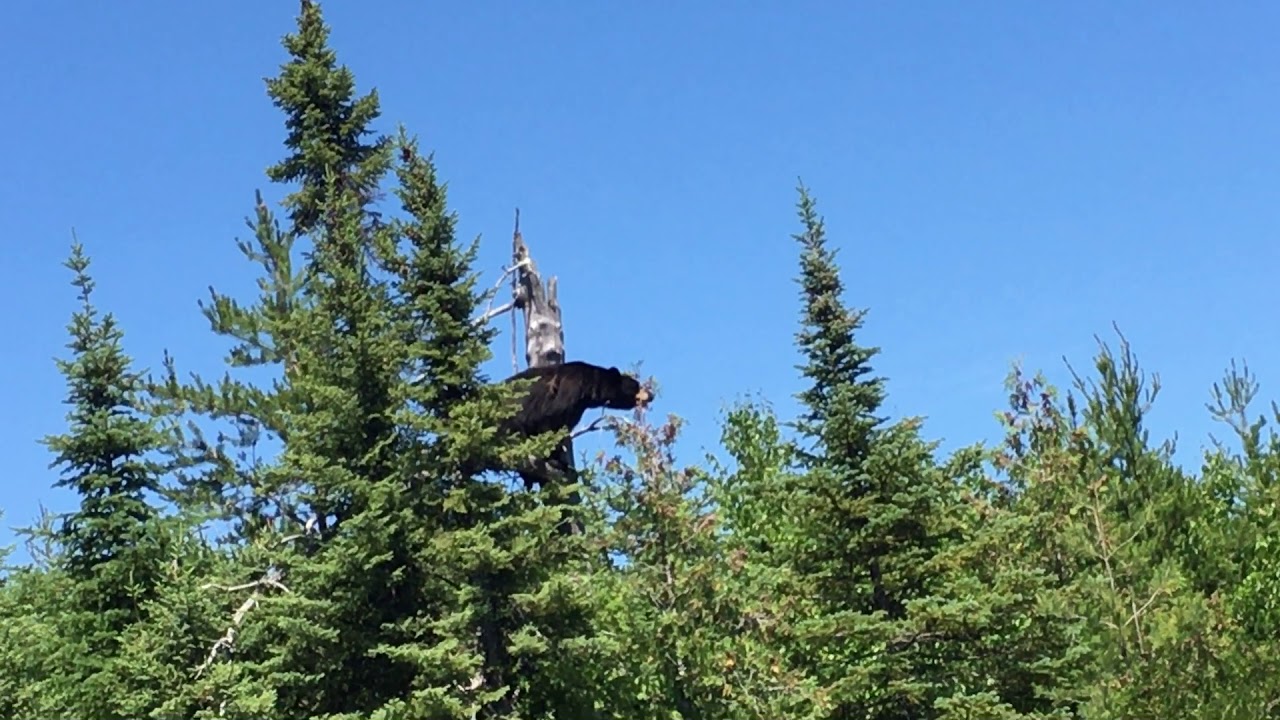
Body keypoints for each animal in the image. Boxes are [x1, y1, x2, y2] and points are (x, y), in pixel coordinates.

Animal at [494, 361, 652, 491]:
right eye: (636, 385)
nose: (651, 394)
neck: (589, 387)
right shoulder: (569, 389)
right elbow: (549, 420)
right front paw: (555, 461)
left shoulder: (576, 409)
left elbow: (561, 427)